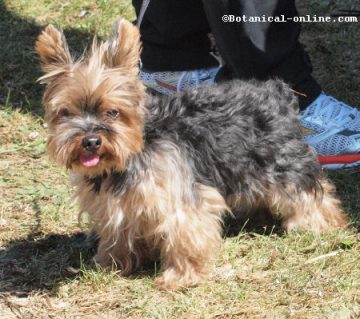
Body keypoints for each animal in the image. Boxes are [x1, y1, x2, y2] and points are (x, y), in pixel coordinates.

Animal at [35, 19, 348, 290]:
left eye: (112, 112)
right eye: (66, 113)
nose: (90, 141)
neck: (133, 153)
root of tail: (278, 91)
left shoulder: (181, 199)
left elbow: (184, 234)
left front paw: (181, 277)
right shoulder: (113, 205)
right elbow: (118, 233)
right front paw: (111, 263)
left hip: (283, 160)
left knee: (311, 191)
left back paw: (320, 224)